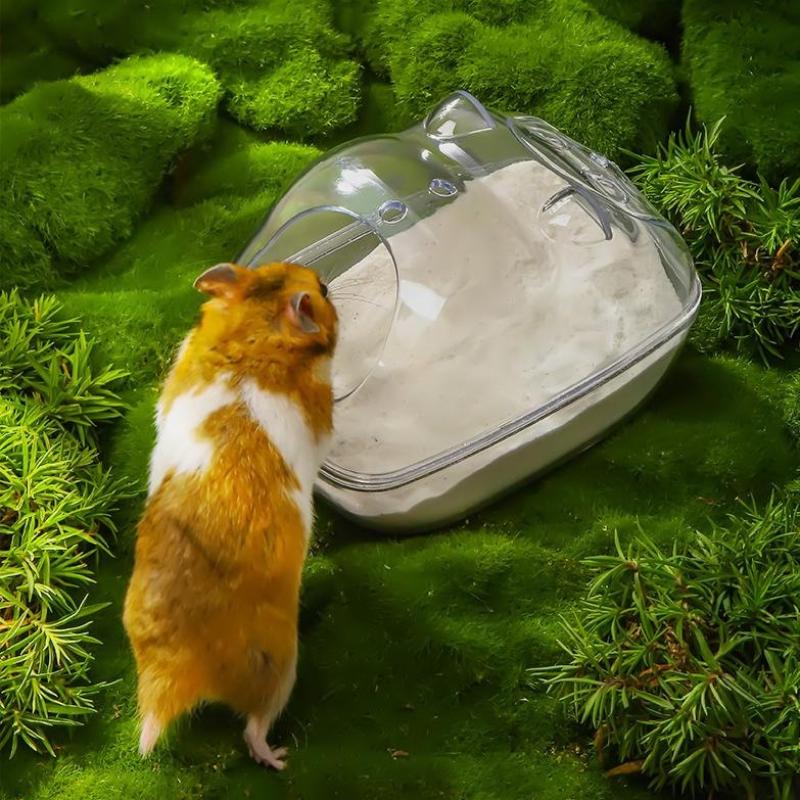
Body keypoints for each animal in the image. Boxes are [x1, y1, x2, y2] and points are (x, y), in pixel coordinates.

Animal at [122, 261, 337, 770]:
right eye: (321, 291)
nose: (328, 281)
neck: (252, 337)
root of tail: (173, 671)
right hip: (279, 666)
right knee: (252, 728)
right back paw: (278, 757)